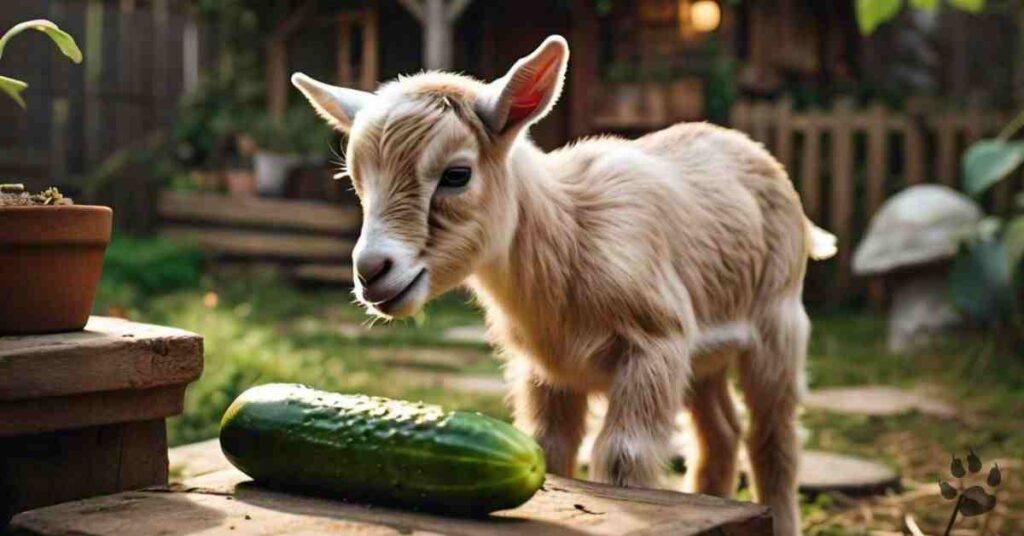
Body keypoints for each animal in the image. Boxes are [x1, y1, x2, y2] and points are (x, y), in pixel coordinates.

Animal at [292, 35, 835, 532]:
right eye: (356, 181)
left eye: (456, 175)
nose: (372, 271)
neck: (570, 236)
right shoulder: (548, 372)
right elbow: (548, 449)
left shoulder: (654, 346)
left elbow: (622, 456)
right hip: (704, 356)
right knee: (719, 433)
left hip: (777, 325)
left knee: (773, 441)